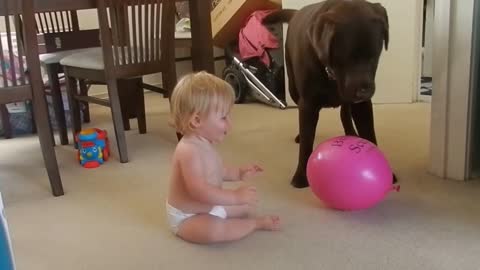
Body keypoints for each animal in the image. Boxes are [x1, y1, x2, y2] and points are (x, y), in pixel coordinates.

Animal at [262, 0, 394, 188]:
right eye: (347, 58)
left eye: (374, 57)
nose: (365, 90)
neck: (331, 75)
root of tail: (296, 13)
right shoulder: (308, 104)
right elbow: (307, 141)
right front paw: (300, 176)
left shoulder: (363, 105)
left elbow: (370, 133)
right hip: (293, 89)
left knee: (344, 111)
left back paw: (351, 132)